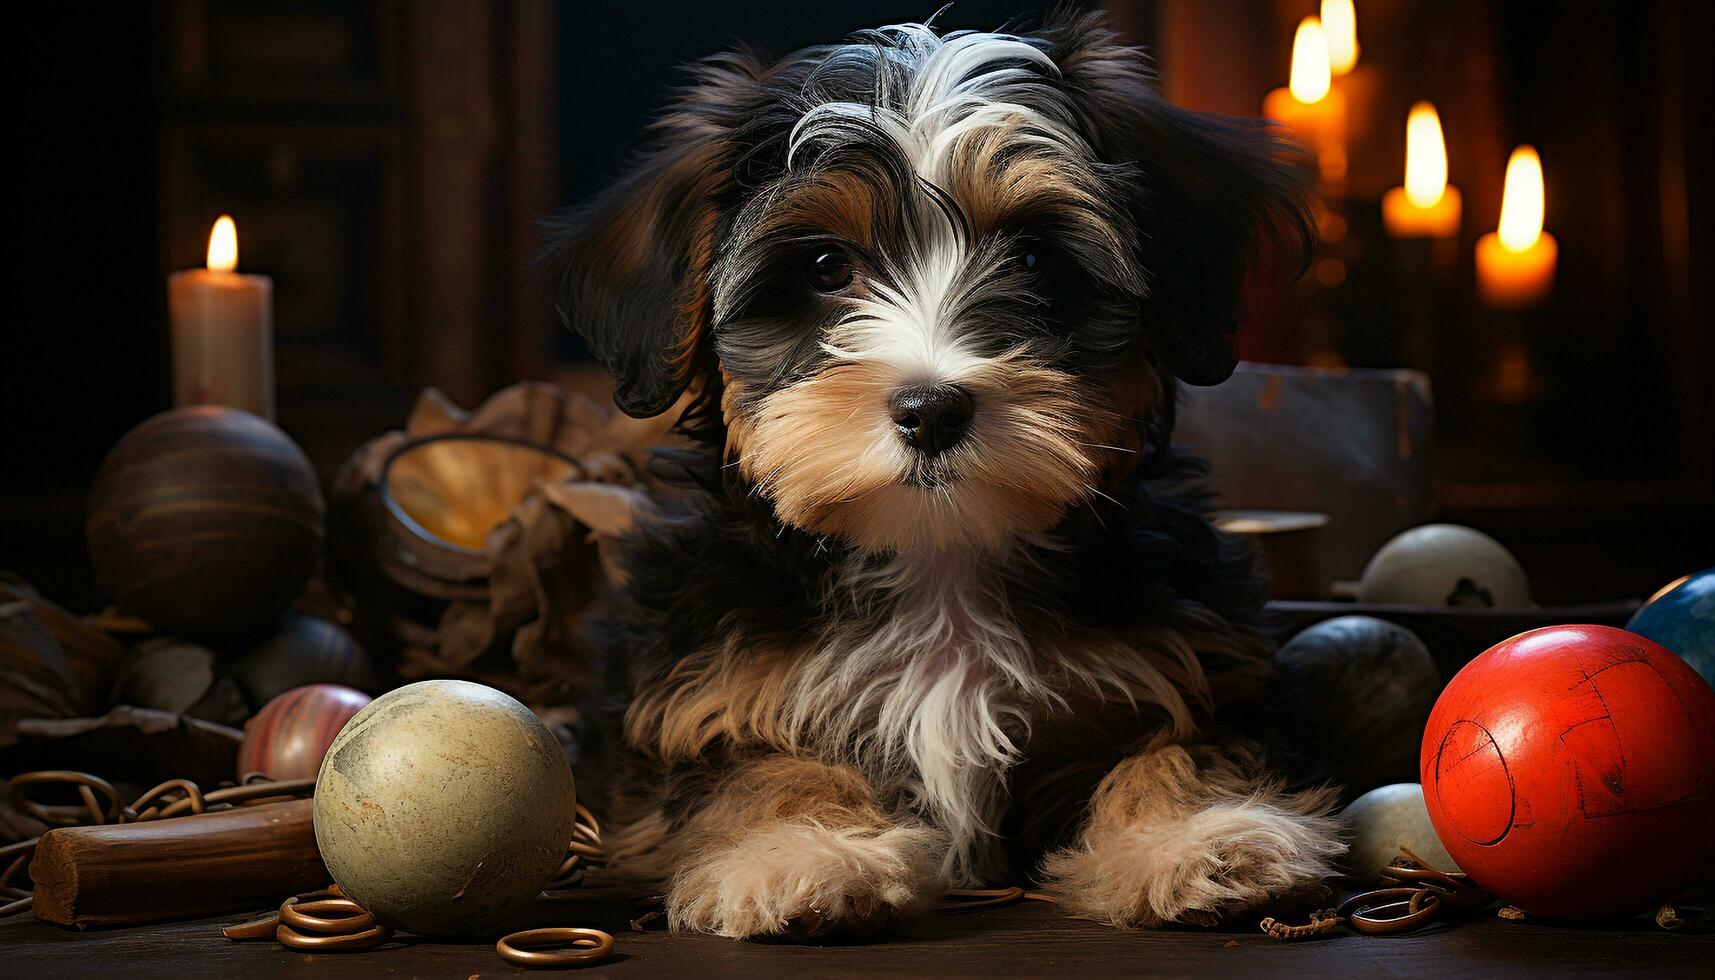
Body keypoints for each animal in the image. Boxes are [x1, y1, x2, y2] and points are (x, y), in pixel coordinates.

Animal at [545, 11, 1337, 940]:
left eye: (1032, 260)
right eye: (824, 267)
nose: (930, 409)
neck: (940, 553)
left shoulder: (1193, 659)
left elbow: (1183, 745)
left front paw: (1196, 838)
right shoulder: (701, 697)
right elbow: (763, 768)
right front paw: (806, 853)